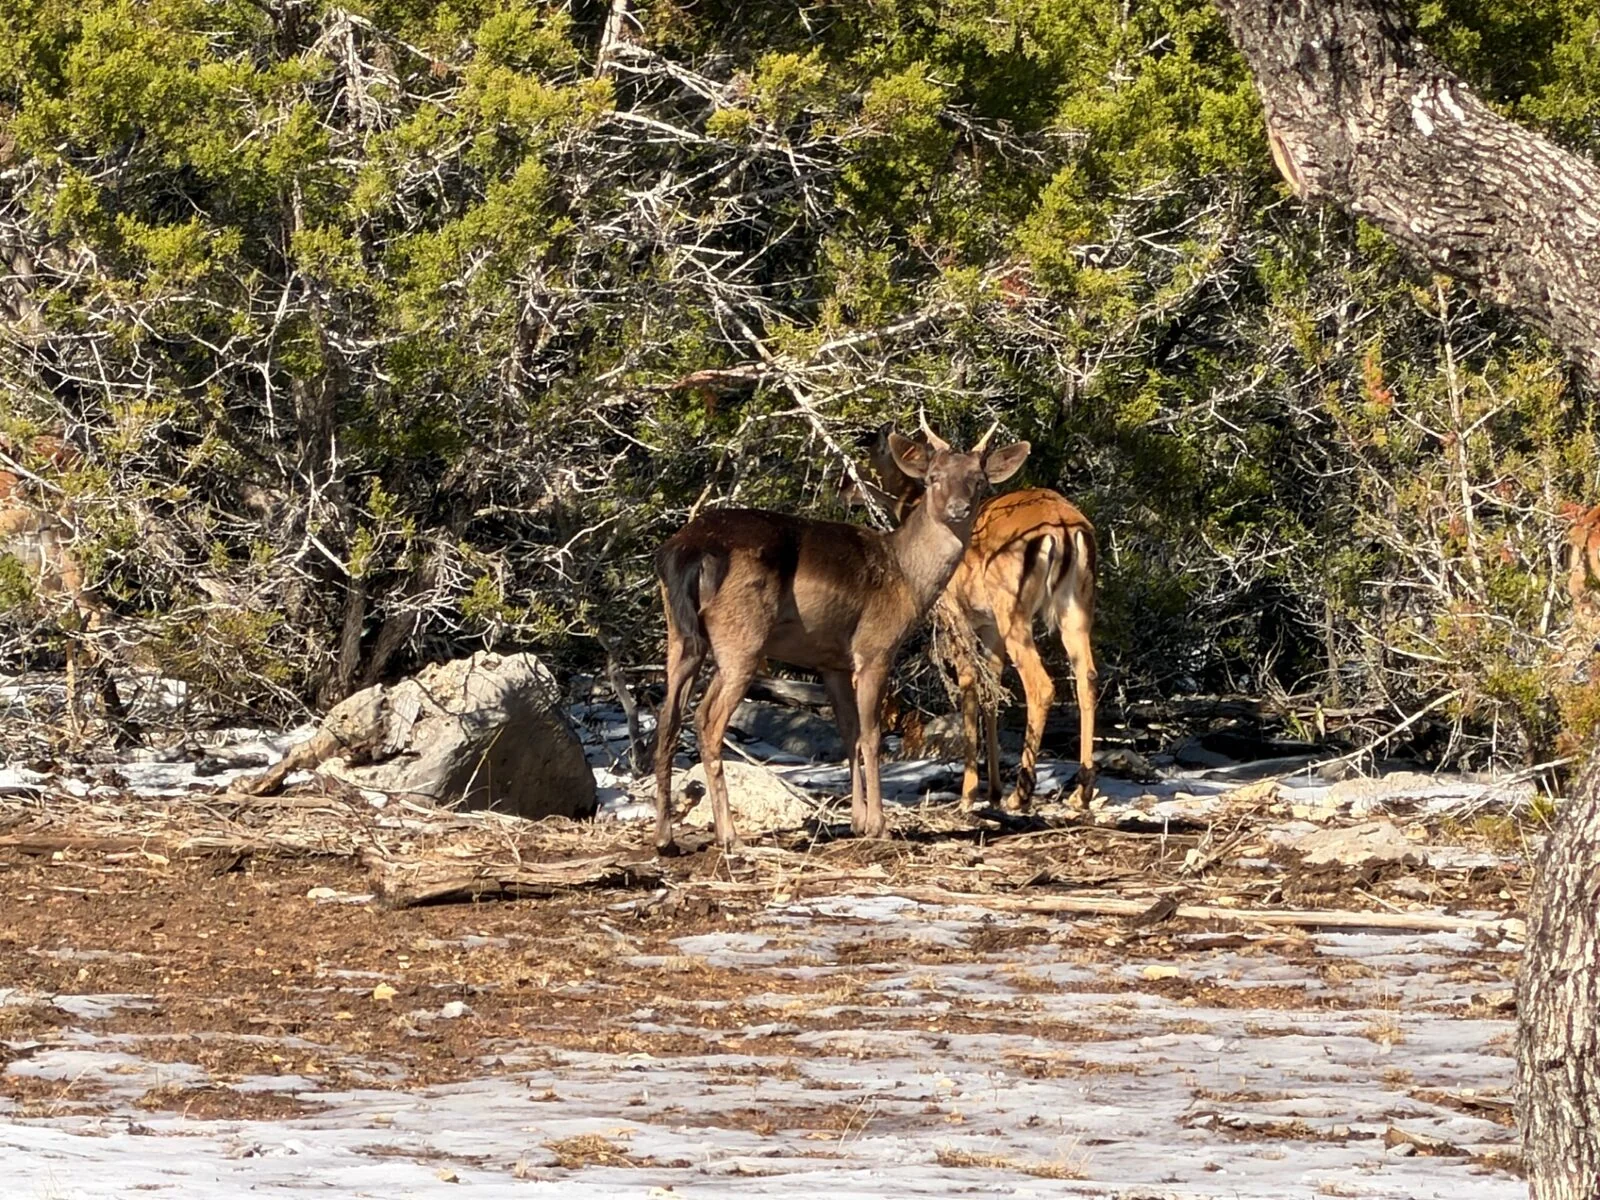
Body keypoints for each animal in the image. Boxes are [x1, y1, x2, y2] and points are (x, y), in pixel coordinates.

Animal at [651, 419, 1030, 854]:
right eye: (933, 478)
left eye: (978, 481)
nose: (958, 509)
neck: (907, 577)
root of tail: (685, 551)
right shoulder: (875, 646)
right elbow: (872, 734)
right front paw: (879, 825)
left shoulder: (831, 660)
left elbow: (849, 733)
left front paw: (858, 821)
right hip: (741, 634)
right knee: (707, 719)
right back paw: (729, 836)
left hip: (681, 634)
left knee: (668, 718)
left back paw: (665, 838)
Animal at [846, 423, 1097, 813]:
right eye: (935, 475)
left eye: (869, 454)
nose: (846, 488)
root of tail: (1063, 527)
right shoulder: (988, 622)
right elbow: (991, 688)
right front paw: (991, 789)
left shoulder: (954, 611)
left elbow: (968, 684)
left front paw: (969, 792)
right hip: (1076, 604)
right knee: (1087, 676)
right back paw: (1080, 792)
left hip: (1013, 606)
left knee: (1041, 684)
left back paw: (1021, 794)